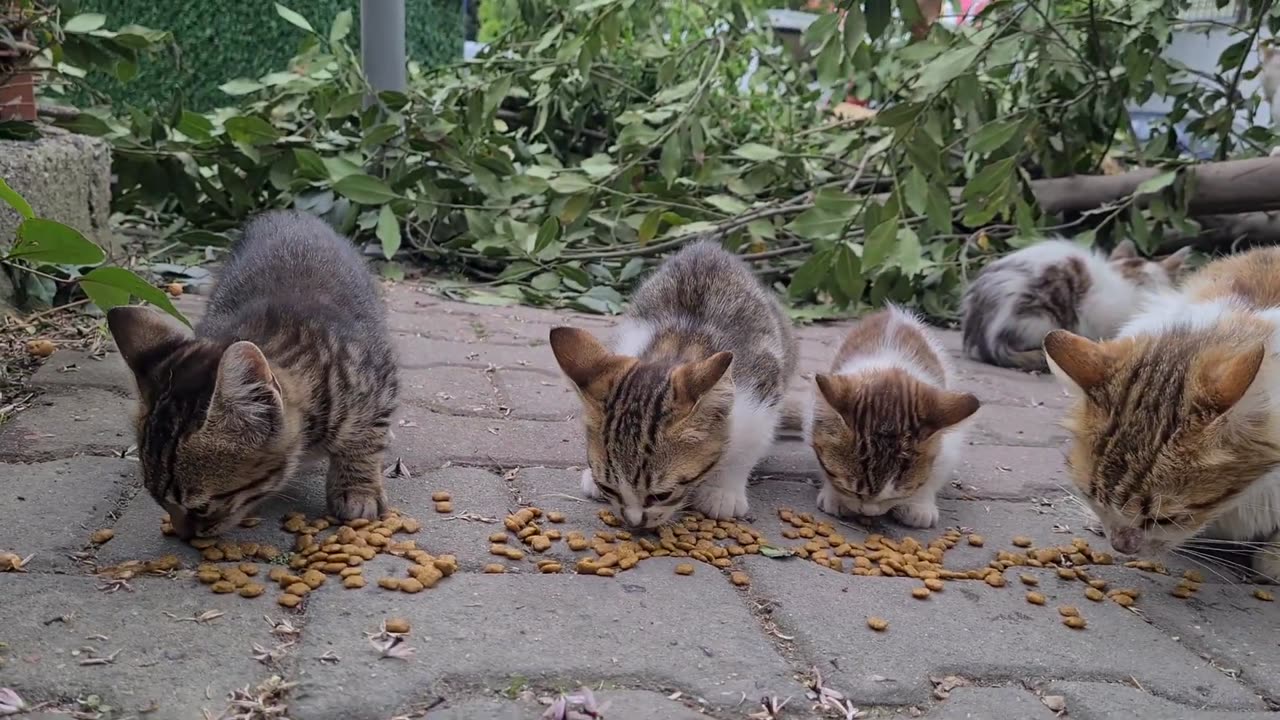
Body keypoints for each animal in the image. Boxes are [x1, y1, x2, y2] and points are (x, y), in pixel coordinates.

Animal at [107, 210, 396, 535]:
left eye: (201, 507)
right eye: (157, 500)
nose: (182, 535)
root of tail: (289, 213)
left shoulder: (378, 377)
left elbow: (365, 436)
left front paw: (357, 489)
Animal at [552, 238, 793, 525]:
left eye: (661, 495)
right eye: (610, 488)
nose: (635, 523)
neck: (681, 344)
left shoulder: (761, 397)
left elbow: (747, 448)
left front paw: (723, 491)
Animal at [808, 303, 977, 527]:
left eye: (895, 496)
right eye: (850, 489)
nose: (869, 512)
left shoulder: (948, 447)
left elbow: (933, 475)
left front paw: (919, 505)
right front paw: (835, 496)